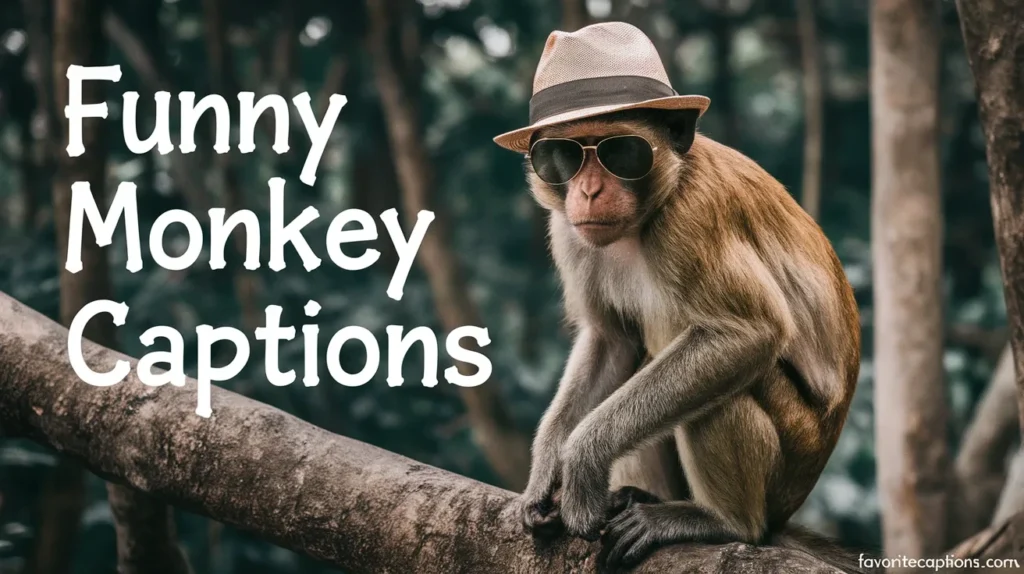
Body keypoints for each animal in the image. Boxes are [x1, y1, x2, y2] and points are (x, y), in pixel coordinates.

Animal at [503, 107, 865, 572]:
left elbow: (748, 332)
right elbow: (611, 340)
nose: (588, 190)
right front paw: (546, 470)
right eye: (564, 156)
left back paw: (724, 522)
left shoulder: (692, 216)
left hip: (793, 451)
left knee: (724, 389)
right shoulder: (570, 230)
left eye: (620, 151)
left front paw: (583, 458)